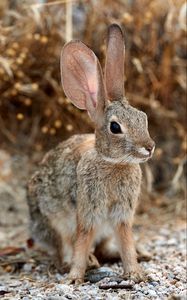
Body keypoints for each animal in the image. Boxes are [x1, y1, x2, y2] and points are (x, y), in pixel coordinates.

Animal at [26, 23, 155, 284]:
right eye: (115, 127)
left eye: (143, 117)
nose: (149, 147)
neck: (113, 162)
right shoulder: (88, 210)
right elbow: (82, 239)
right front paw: (75, 277)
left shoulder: (122, 215)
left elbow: (126, 240)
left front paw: (135, 273)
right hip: (52, 222)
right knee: (64, 247)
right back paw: (87, 263)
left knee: (104, 247)